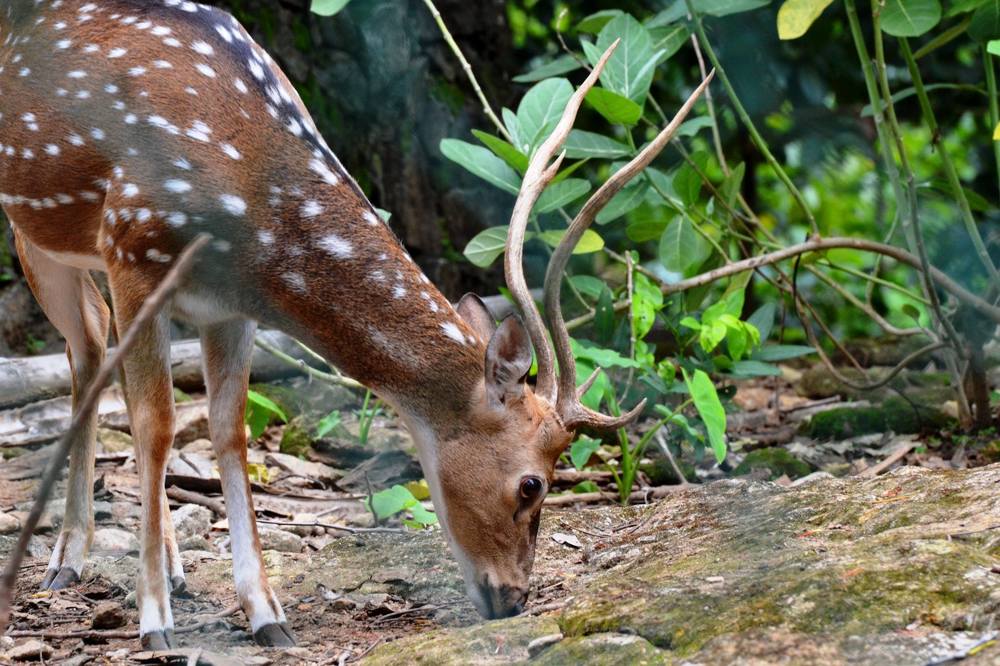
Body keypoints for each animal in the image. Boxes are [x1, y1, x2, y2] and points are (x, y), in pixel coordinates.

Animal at [0, 0, 710, 650]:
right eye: (531, 483)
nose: (514, 597)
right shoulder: (133, 247)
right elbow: (158, 425)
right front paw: (155, 624)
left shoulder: (229, 307)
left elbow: (229, 430)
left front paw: (267, 615)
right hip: (41, 229)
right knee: (89, 351)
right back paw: (68, 561)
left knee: (97, 340)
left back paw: (151, 565)